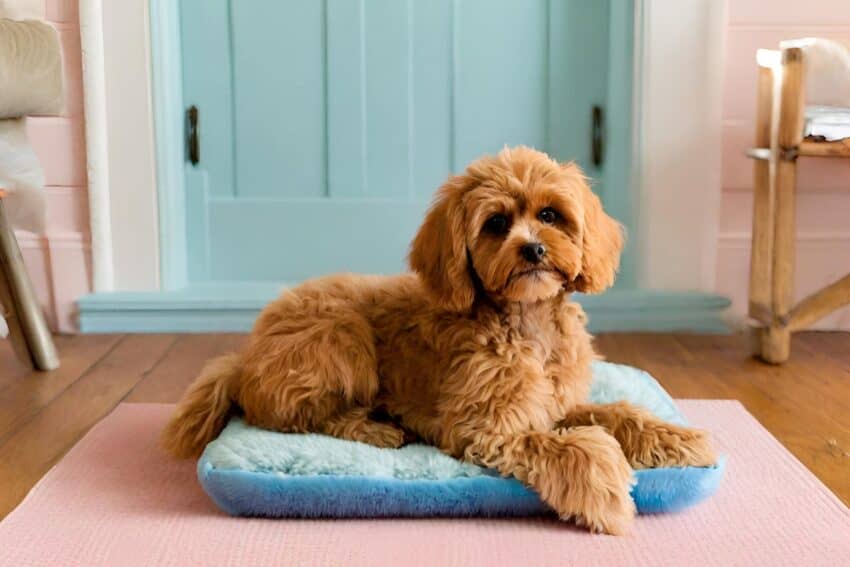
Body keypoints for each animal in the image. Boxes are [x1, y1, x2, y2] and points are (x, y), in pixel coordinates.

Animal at [161, 145, 716, 532]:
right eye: (496, 223)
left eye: (550, 215)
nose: (533, 249)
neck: (526, 322)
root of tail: (243, 359)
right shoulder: (483, 427)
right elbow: (573, 447)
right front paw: (607, 493)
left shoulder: (553, 403)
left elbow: (614, 415)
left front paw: (678, 439)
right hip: (340, 337)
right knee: (296, 417)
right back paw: (379, 430)